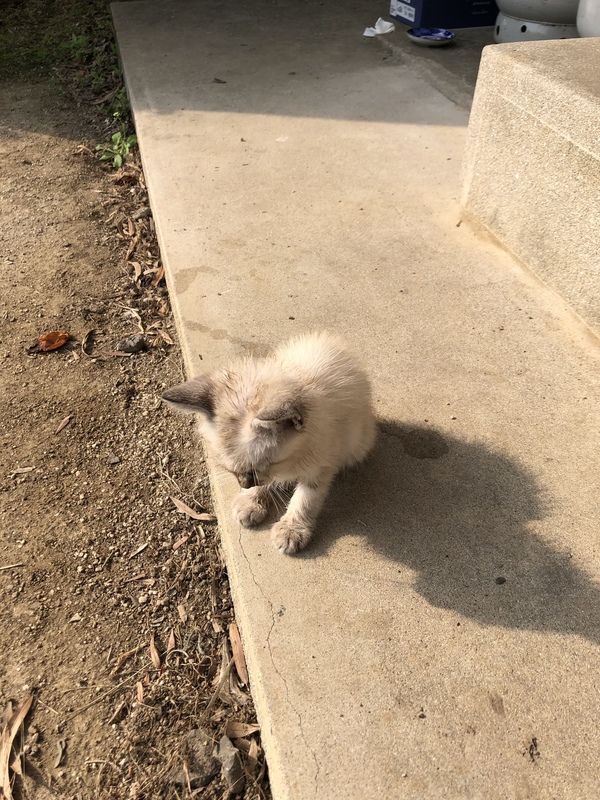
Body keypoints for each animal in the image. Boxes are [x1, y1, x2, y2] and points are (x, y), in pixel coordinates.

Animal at [162, 331, 376, 554]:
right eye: (232, 471)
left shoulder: (321, 465)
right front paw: (250, 501)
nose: (244, 484)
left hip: (358, 442)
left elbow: (305, 500)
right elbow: (269, 486)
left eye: (257, 468)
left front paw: (291, 530)